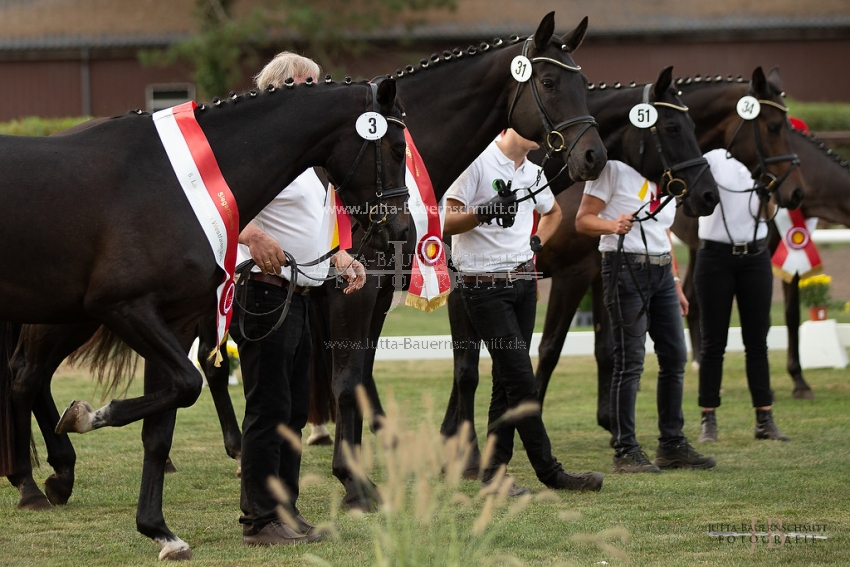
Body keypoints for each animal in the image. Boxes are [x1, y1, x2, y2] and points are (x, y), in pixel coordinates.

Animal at [1, 77, 408, 560]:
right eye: (398, 150)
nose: (402, 231)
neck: (175, 187)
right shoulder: (125, 308)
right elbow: (188, 384)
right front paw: (89, 414)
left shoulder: (172, 321)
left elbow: (161, 428)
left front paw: (160, 531)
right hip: (61, 316)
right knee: (25, 376)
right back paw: (33, 486)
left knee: (27, 377)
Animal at [438, 67, 724, 474]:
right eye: (671, 127)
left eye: (694, 126)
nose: (708, 195)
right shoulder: (560, 277)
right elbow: (525, 353)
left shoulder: (593, 271)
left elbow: (604, 348)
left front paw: (611, 424)